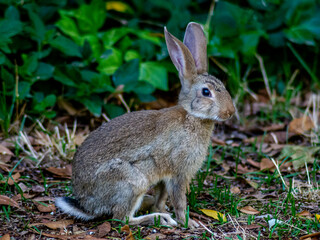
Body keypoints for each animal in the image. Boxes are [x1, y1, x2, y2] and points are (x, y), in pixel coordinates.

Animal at [55, 21, 235, 228]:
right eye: (206, 92)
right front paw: (187, 222)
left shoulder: (164, 176)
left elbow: (162, 196)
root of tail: (87, 204)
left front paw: (163, 209)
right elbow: (179, 200)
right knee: (121, 218)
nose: (230, 112)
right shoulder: (178, 172)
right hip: (132, 182)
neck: (192, 117)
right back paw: (158, 218)